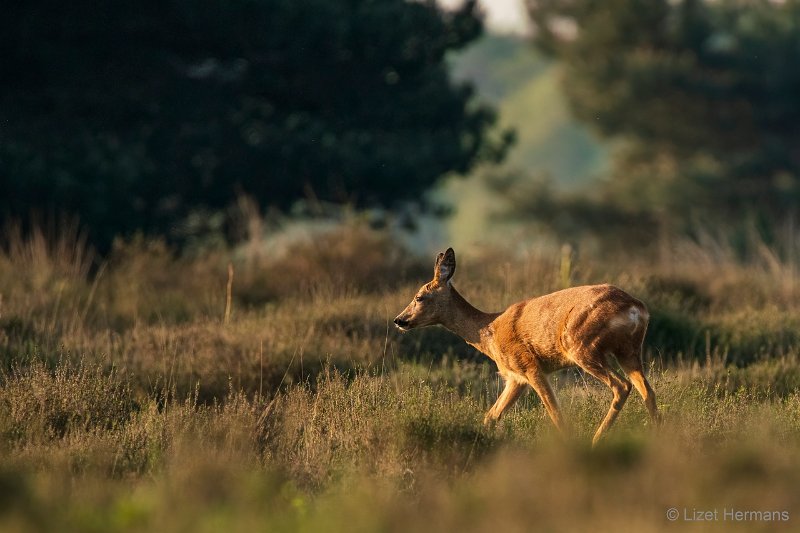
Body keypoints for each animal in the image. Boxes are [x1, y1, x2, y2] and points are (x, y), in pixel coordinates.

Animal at [396, 248, 664, 444]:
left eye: (419, 297)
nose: (400, 320)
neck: (488, 332)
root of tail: (636, 308)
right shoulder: (515, 378)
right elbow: (491, 416)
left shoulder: (528, 365)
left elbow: (555, 413)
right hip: (629, 350)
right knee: (647, 391)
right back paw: (658, 437)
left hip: (582, 345)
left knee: (622, 386)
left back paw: (596, 441)